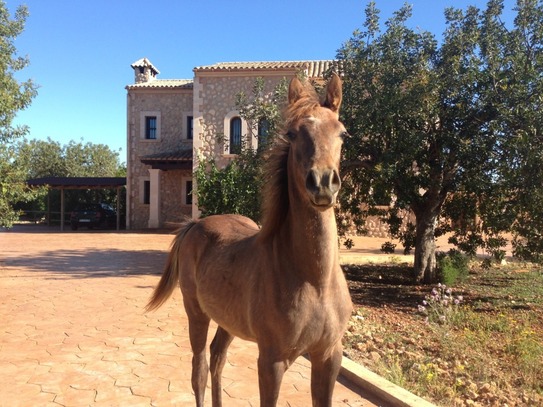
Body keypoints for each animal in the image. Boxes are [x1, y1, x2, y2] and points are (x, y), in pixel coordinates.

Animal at [147, 74, 354, 407]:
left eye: (342, 132)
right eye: (292, 133)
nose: (322, 183)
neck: (314, 281)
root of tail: (195, 225)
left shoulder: (328, 356)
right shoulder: (271, 361)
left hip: (227, 319)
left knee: (217, 358)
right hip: (196, 311)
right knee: (199, 369)